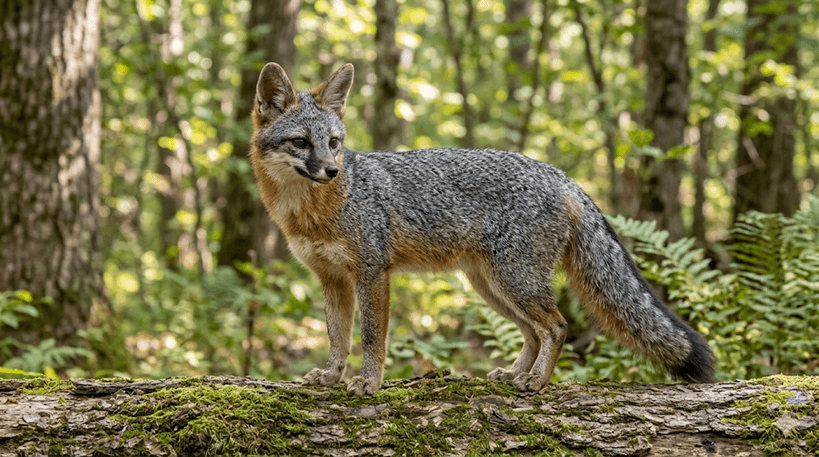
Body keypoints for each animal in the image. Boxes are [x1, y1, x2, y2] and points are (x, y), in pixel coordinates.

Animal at [248, 62, 715, 395]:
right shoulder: (331, 279)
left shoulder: (372, 272)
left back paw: (537, 382)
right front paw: (330, 377)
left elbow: (371, 337)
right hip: (492, 286)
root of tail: (558, 174)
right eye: (301, 142)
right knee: (534, 332)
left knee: (557, 326)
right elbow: (337, 337)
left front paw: (369, 382)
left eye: (334, 143)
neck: (313, 209)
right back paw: (515, 374)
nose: (330, 170)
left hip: (515, 282)